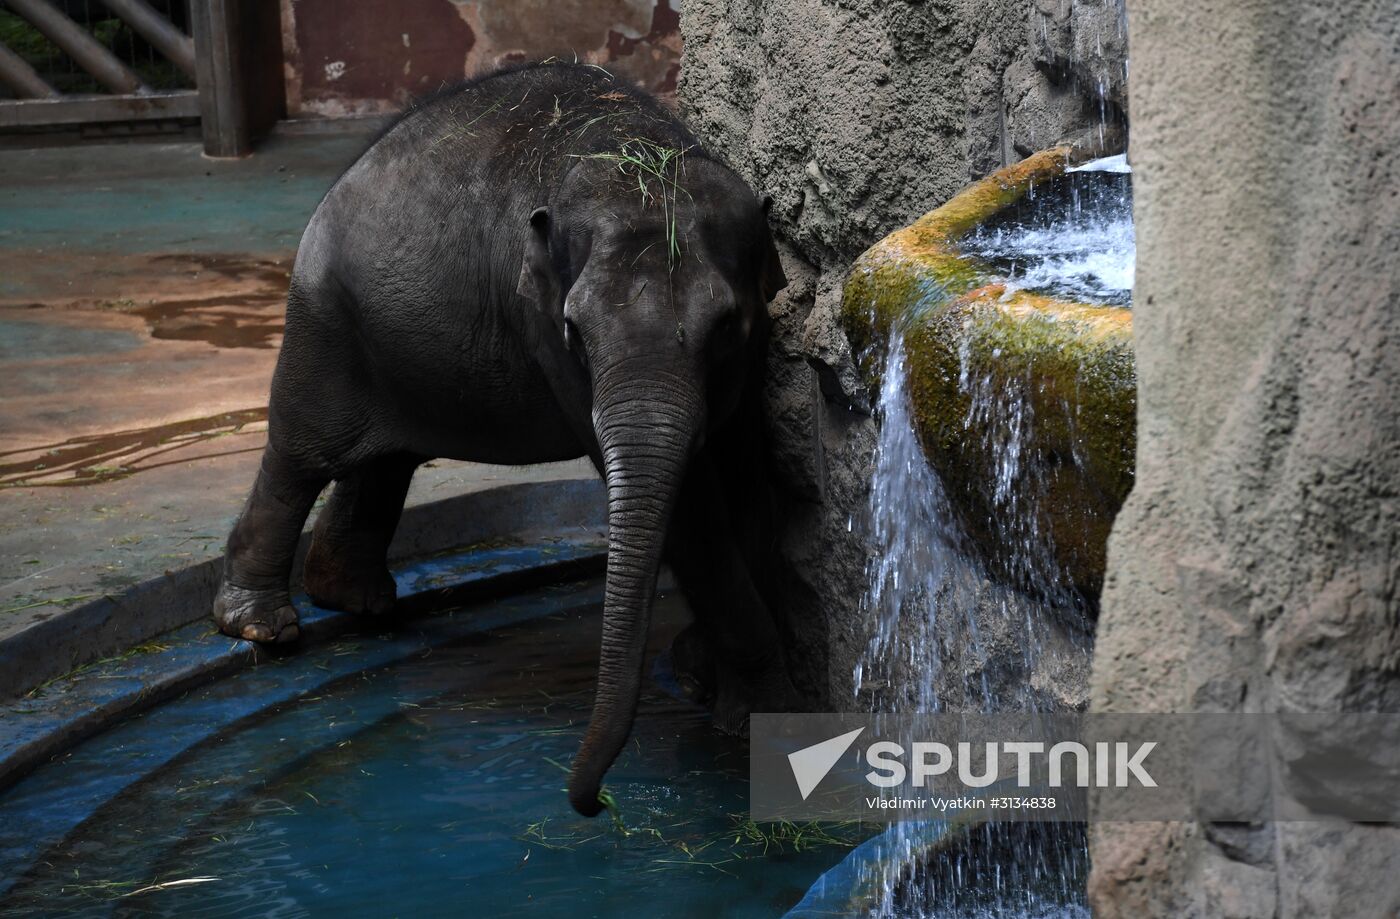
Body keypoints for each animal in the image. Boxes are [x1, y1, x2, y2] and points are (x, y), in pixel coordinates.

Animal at [212, 62, 800, 817]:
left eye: (726, 325)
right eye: (575, 330)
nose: (593, 804)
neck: (632, 150)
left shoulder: (752, 359)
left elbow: (744, 472)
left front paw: (707, 679)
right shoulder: (545, 332)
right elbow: (694, 512)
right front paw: (758, 717)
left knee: (385, 462)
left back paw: (356, 598)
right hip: (323, 325)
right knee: (302, 455)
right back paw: (262, 625)